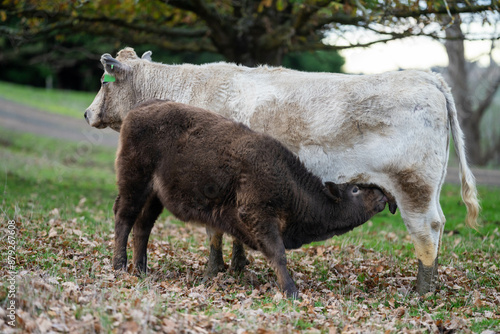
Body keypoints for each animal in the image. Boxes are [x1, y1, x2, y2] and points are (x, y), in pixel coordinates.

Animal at [86, 45, 480, 294]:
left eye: (104, 81)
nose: (88, 113)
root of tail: (427, 77)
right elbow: (230, 233)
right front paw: (237, 267)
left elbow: (214, 233)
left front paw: (213, 272)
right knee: (438, 226)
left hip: (414, 187)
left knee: (425, 231)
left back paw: (421, 292)